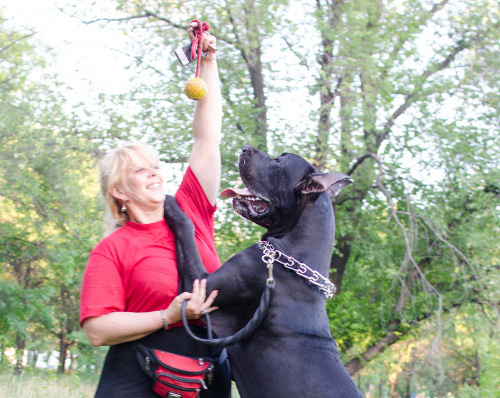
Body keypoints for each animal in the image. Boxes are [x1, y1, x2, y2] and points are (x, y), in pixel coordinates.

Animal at [164, 147, 364, 398]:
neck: (286, 256)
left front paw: (169, 203)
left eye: (278, 161)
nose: (245, 148)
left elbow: (187, 229)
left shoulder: (200, 287)